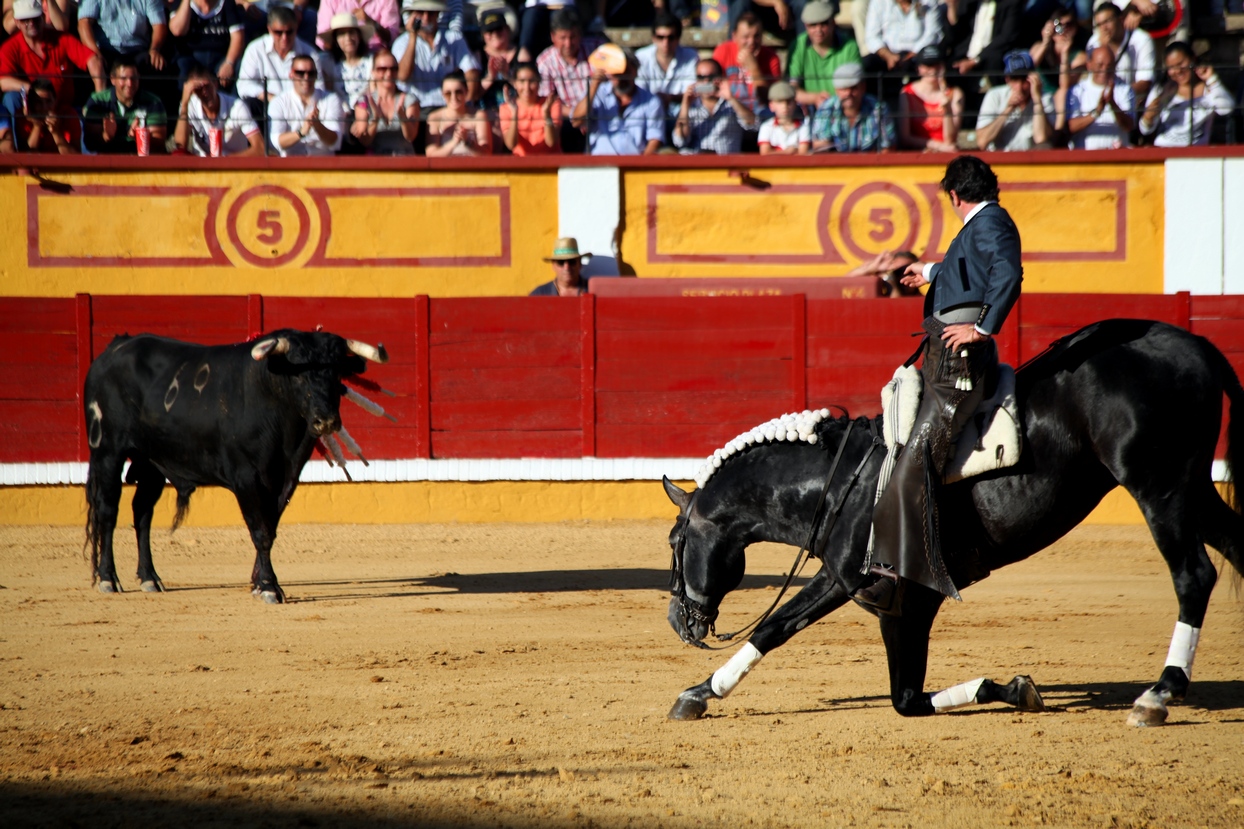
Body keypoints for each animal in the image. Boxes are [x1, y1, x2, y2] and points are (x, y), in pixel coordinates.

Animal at [83, 326, 383, 604]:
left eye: (337, 372)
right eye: (298, 373)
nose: (326, 420)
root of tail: (114, 348)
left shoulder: (287, 477)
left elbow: (270, 527)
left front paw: (259, 583)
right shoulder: (246, 477)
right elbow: (260, 531)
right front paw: (269, 587)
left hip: (151, 462)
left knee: (142, 512)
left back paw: (150, 578)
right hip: (107, 451)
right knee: (108, 511)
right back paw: (108, 578)